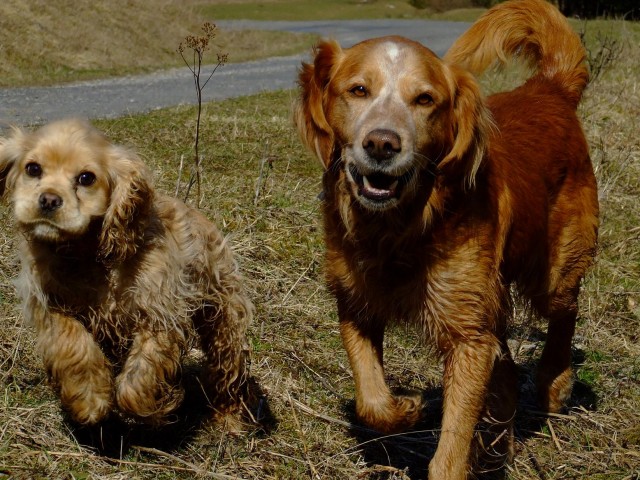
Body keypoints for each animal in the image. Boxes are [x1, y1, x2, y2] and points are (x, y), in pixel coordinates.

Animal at [0, 119, 255, 428]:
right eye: (33, 168)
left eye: (86, 178)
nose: (48, 200)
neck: (86, 253)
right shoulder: (50, 302)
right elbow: (73, 344)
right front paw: (90, 400)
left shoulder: (160, 310)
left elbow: (144, 368)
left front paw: (150, 406)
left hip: (223, 314)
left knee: (226, 365)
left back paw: (228, 417)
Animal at [298, 0, 596, 476]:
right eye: (358, 90)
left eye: (425, 99)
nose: (382, 143)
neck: (399, 228)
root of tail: (549, 89)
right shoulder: (355, 304)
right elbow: (371, 402)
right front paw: (407, 409)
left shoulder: (467, 338)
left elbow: (453, 441)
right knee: (506, 372)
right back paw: (495, 446)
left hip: (551, 270)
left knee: (565, 312)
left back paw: (553, 382)